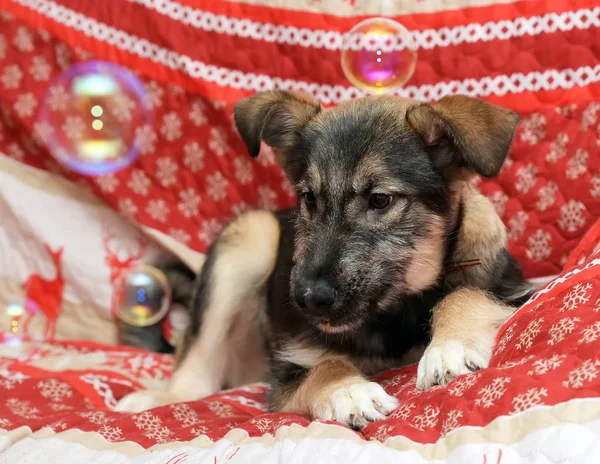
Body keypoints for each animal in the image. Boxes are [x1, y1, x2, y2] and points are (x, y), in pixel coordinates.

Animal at [116, 91, 528, 428]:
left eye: (380, 199)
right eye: (309, 198)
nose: (307, 300)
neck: (395, 314)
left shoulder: (514, 289)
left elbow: (464, 295)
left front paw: (449, 347)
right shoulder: (286, 374)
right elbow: (324, 365)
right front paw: (347, 390)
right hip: (249, 237)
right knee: (197, 370)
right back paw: (159, 397)